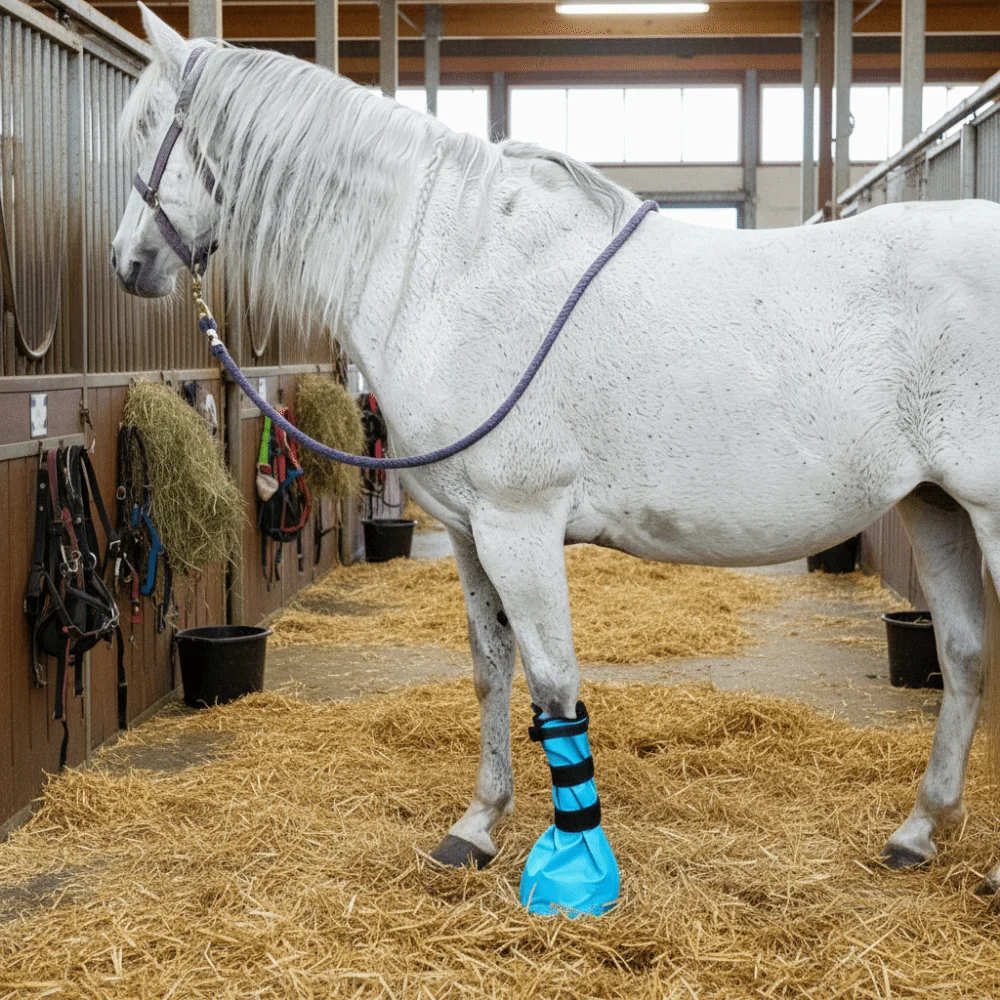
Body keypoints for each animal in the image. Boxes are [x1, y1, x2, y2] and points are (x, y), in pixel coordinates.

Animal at [114, 4, 1000, 898]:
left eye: (150, 127)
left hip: (986, 510)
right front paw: (476, 826)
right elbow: (491, 667)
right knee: (962, 652)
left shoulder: (519, 522)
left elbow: (552, 678)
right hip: (936, 506)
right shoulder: (470, 532)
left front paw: (577, 865)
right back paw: (920, 829)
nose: (128, 264)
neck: (451, 267)